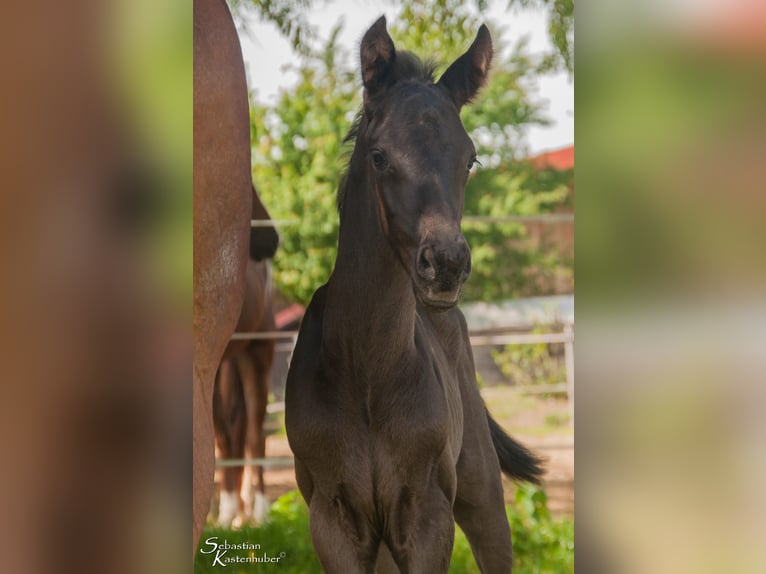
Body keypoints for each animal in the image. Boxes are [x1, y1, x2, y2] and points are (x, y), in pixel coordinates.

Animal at [284, 15, 544, 572]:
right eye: (380, 156)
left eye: (470, 159)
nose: (445, 266)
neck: (366, 372)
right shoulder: (333, 520)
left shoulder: (425, 513)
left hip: (481, 493)